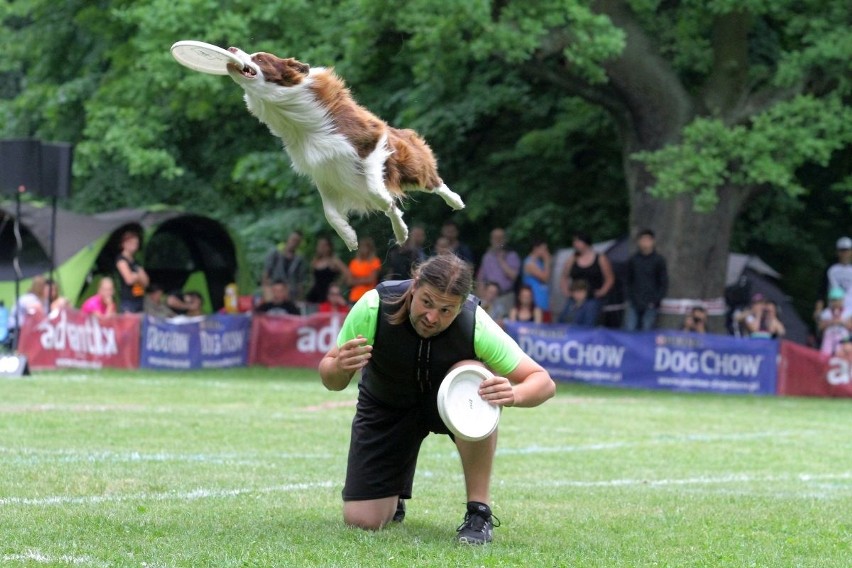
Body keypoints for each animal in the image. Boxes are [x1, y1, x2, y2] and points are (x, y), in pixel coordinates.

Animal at [226, 48, 462, 251]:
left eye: (259, 58)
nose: (231, 48)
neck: (292, 118)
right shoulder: (322, 171)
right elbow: (330, 213)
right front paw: (349, 236)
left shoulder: (372, 141)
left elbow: (379, 194)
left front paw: (393, 217)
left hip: (409, 167)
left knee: (433, 182)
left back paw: (455, 201)